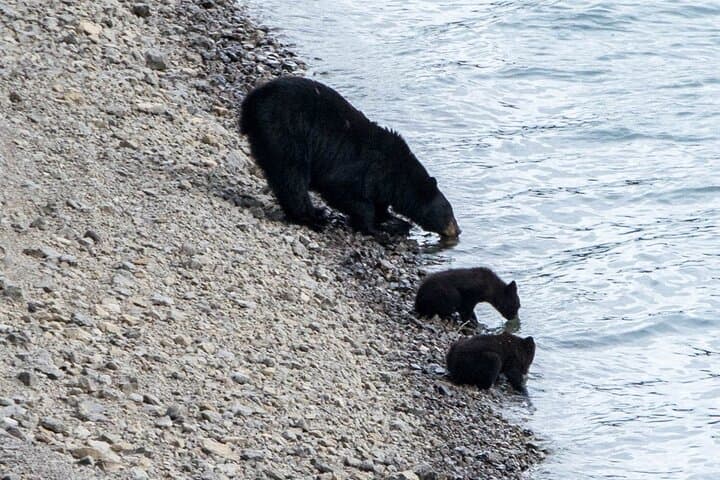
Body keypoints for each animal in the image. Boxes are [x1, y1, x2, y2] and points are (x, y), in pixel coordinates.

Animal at [239, 76, 460, 238]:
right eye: (449, 213)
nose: (458, 230)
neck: (396, 173)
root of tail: (251, 100)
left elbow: (379, 203)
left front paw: (394, 220)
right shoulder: (365, 169)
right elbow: (343, 190)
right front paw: (375, 228)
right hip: (286, 132)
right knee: (291, 175)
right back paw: (313, 216)